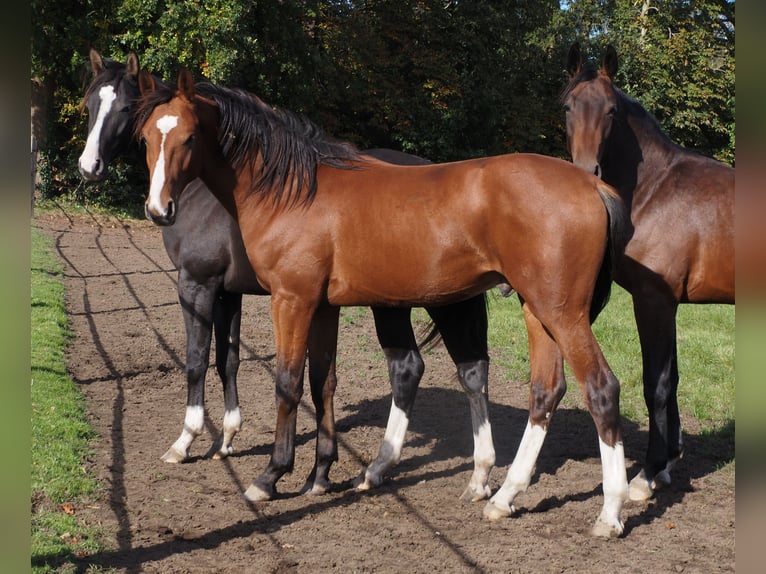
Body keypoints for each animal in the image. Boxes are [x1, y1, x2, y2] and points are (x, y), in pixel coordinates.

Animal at [79, 49, 498, 502]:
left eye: (125, 109)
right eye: (91, 105)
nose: (89, 166)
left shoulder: (201, 285)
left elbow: (205, 361)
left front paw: (193, 443)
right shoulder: (237, 293)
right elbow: (239, 361)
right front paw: (233, 440)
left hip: (408, 303)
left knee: (413, 369)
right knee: (453, 371)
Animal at [136, 70, 636, 536]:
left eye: (189, 136)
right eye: (146, 137)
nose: (159, 209)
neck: (293, 191)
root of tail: (592, 187)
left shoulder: (290, 300)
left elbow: (288, 384)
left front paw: (270, 476)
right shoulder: (322, 306)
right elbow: (323, 383)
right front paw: (319, 475)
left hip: (563, 315)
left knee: (602, 389)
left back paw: (610, 512)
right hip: (537, 313)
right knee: (545, 392)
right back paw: (502, 495)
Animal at [564, 45, 736, 502]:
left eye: (611, 111)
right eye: (568, 106)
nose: (587, 173)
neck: (655, 188)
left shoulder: (653, 301)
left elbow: (654, 383)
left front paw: (647, 473)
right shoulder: (668, 303)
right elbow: (671, 379)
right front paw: (667, 463)